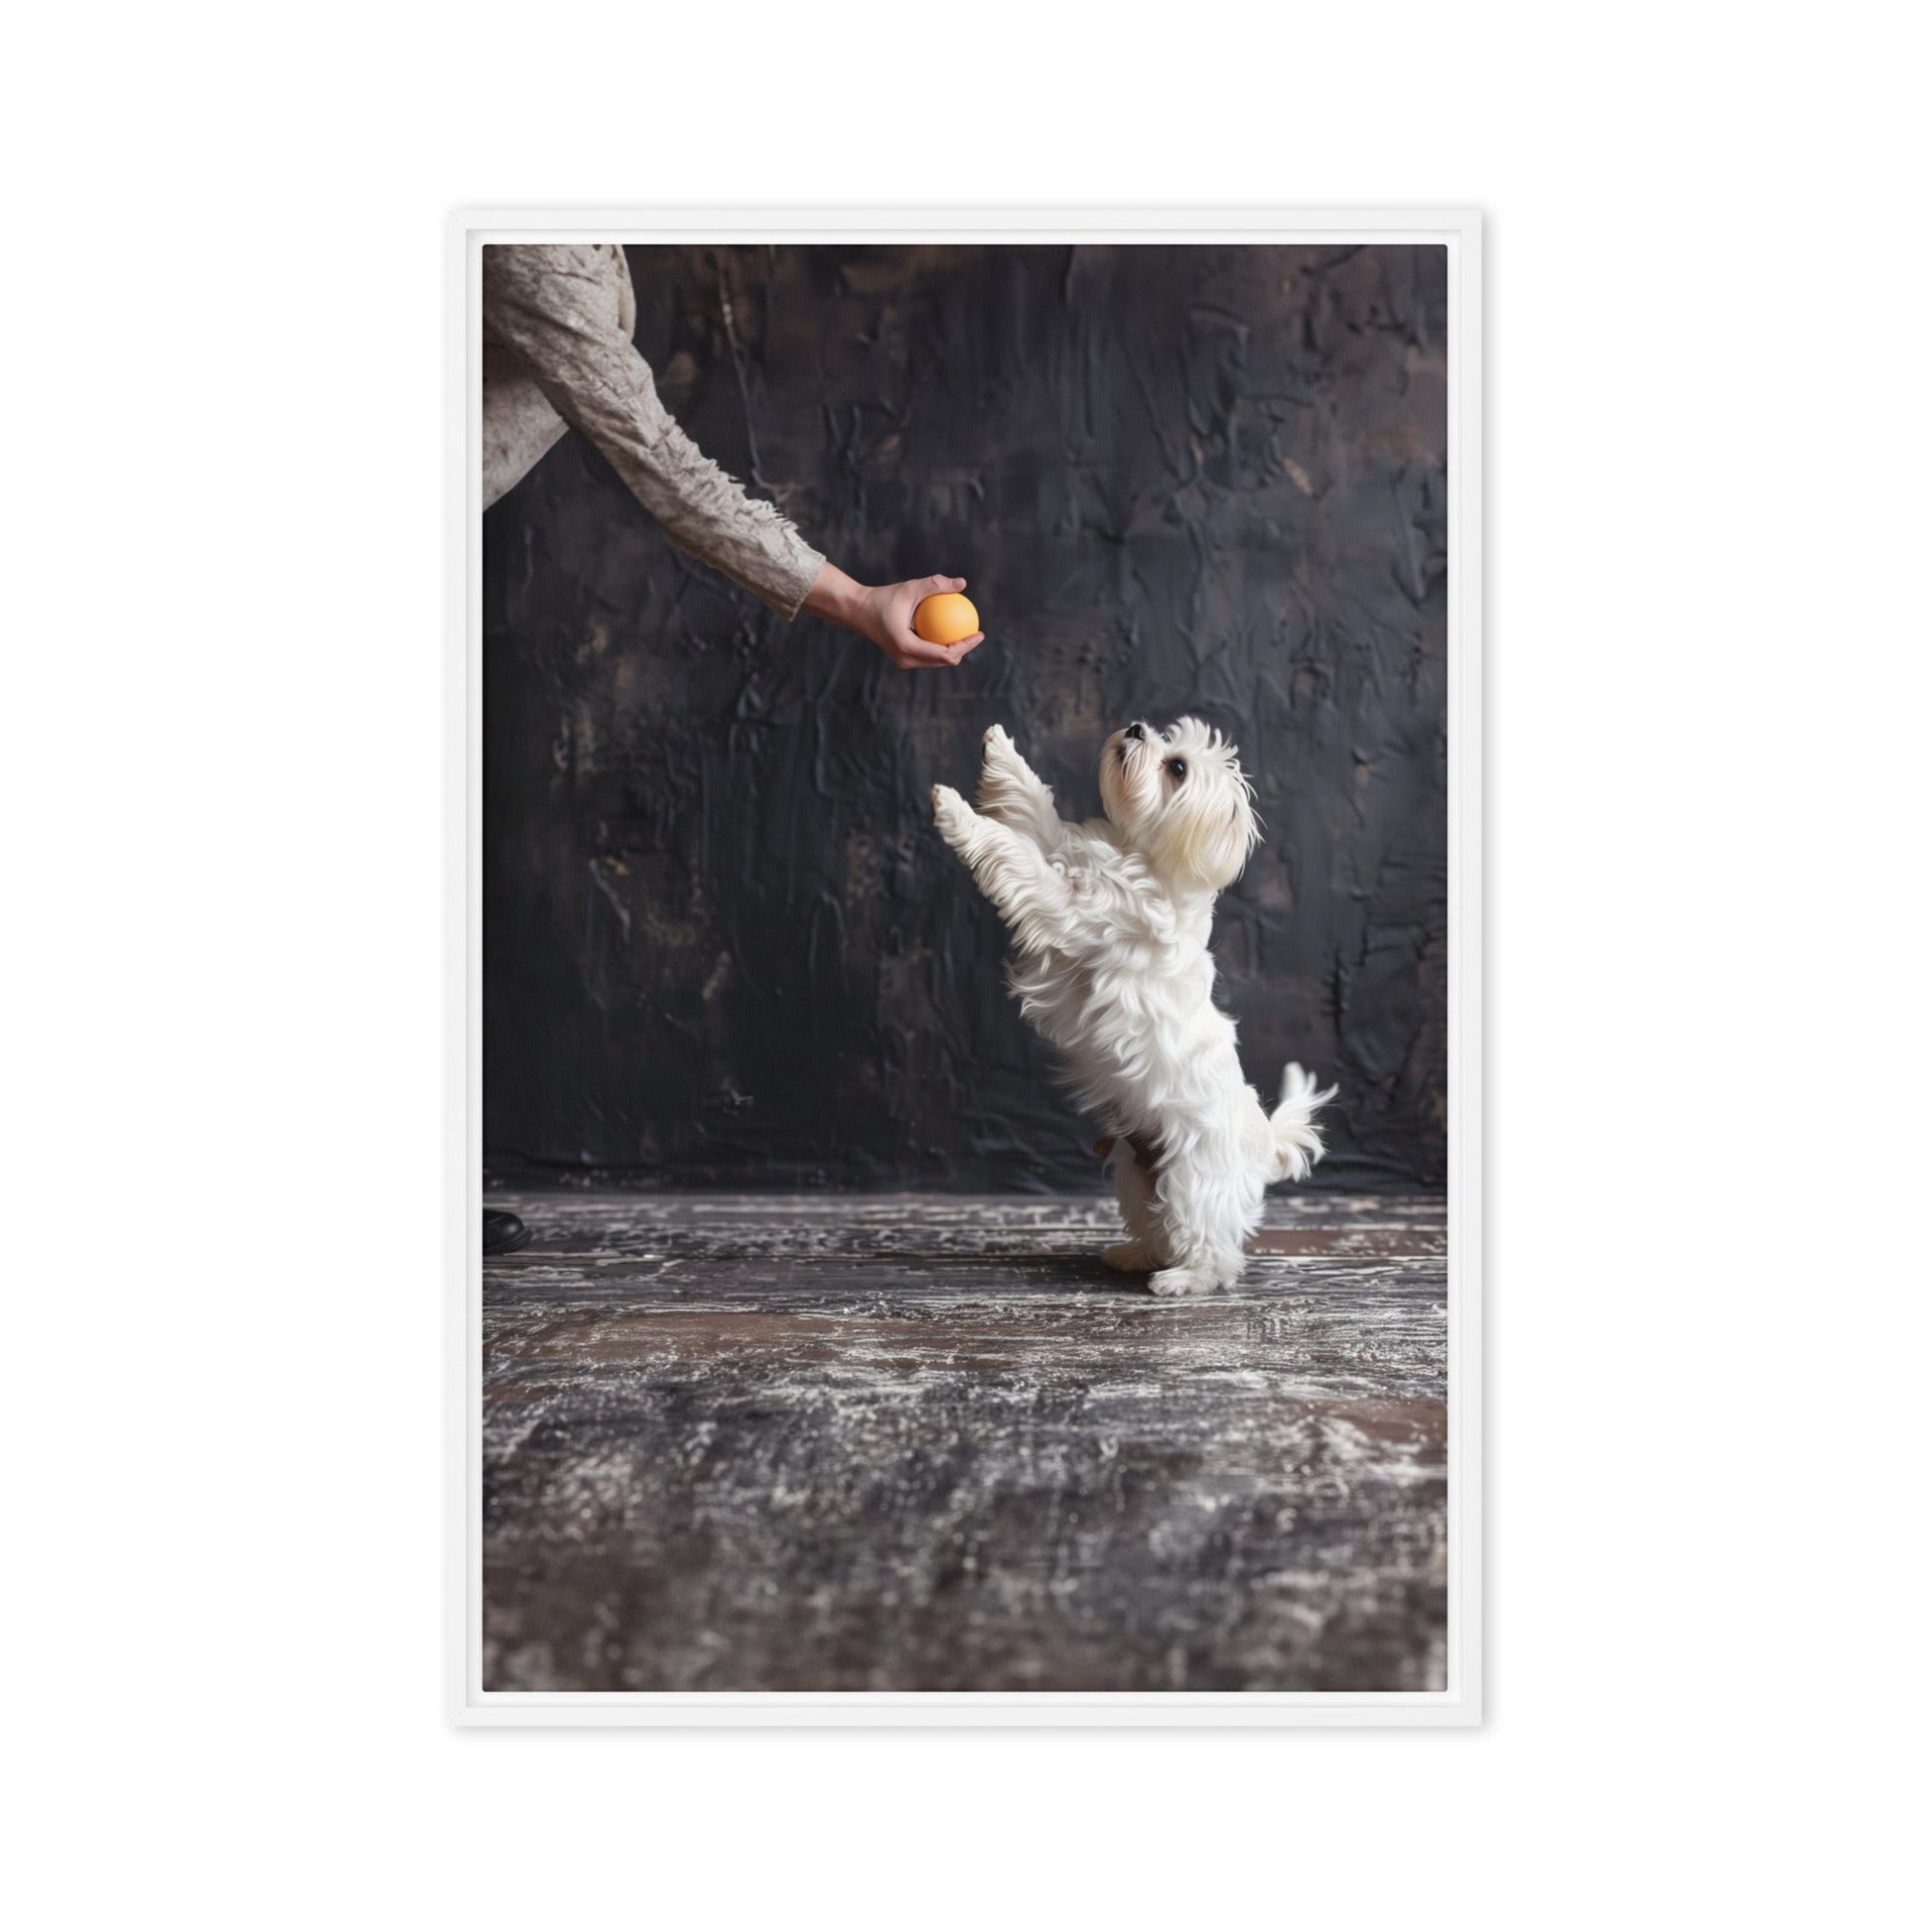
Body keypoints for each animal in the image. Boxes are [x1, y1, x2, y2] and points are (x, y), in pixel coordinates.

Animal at [930, 715, 1328, 1298]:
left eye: (1177, 768)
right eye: (1165, 736)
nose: (1137, 727)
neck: (1139, 856)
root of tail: (1263, 1143)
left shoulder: (1064, 904)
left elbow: (1016, 853)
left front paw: (955, 812)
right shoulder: (1065, 852)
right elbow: (1034, 808)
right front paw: (1001, 752)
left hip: (1194, 1182)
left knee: (1215, 1251)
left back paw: (1182, 1280)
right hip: (1137, 1178)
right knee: (1158, 1227)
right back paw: (1135, 1255)